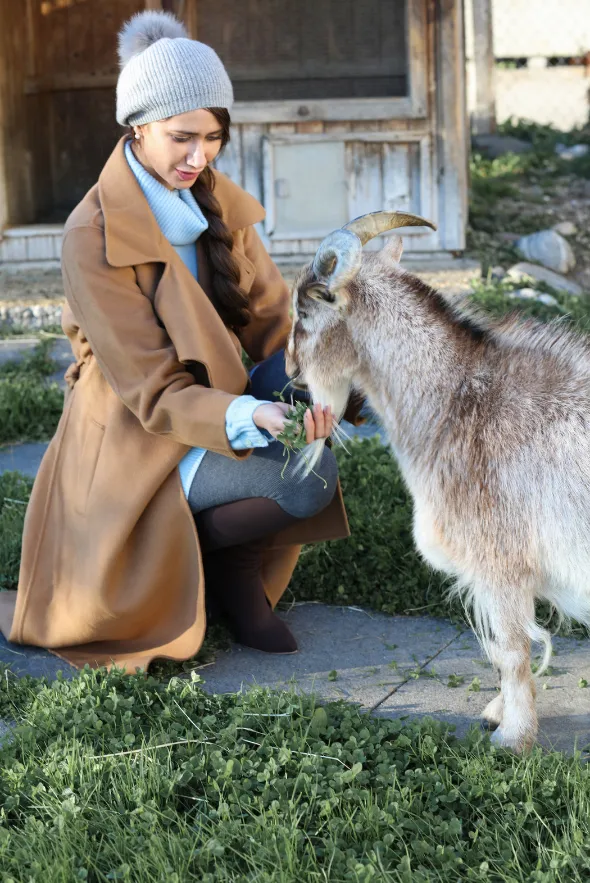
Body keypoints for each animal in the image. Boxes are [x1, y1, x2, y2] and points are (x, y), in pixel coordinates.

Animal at [286, 209, 590, 752]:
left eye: (304, 312)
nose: (290, 370)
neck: (456, 401)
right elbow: (503, 651)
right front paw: (498, 714)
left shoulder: (500, 564)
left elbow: (512, 650)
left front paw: (513, 737)